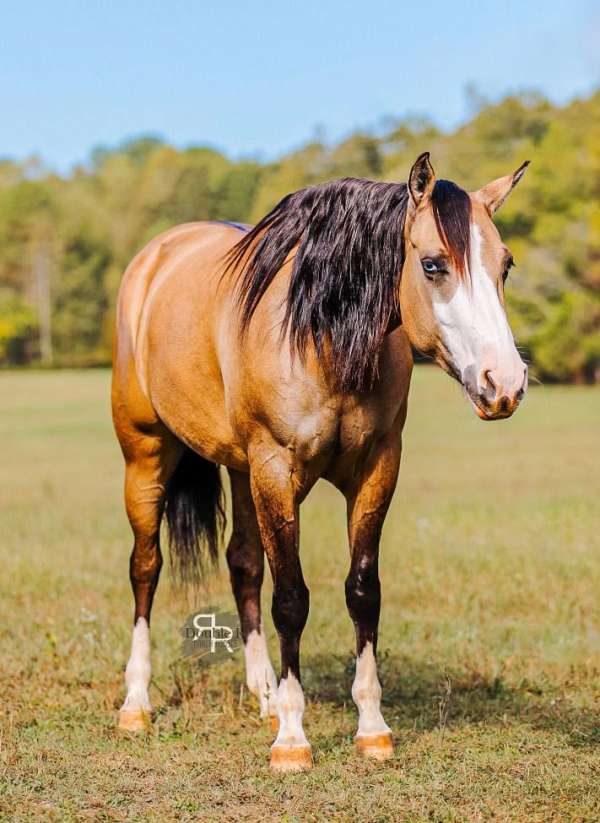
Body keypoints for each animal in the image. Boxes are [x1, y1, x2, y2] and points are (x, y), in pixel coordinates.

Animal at [111, 152, 529, 772]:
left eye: (505, 264)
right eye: (432, 264)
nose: (505, 383)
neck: (321, 336)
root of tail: (155, 256)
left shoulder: (377, 470)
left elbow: (362, 591)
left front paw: (371, 728)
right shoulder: (277, 470)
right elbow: (290, 599)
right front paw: (292, 738)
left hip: (242, 472)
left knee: (242, 564)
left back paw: (262, 694)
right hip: (145, 456)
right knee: (146, 567)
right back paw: (136, 704)